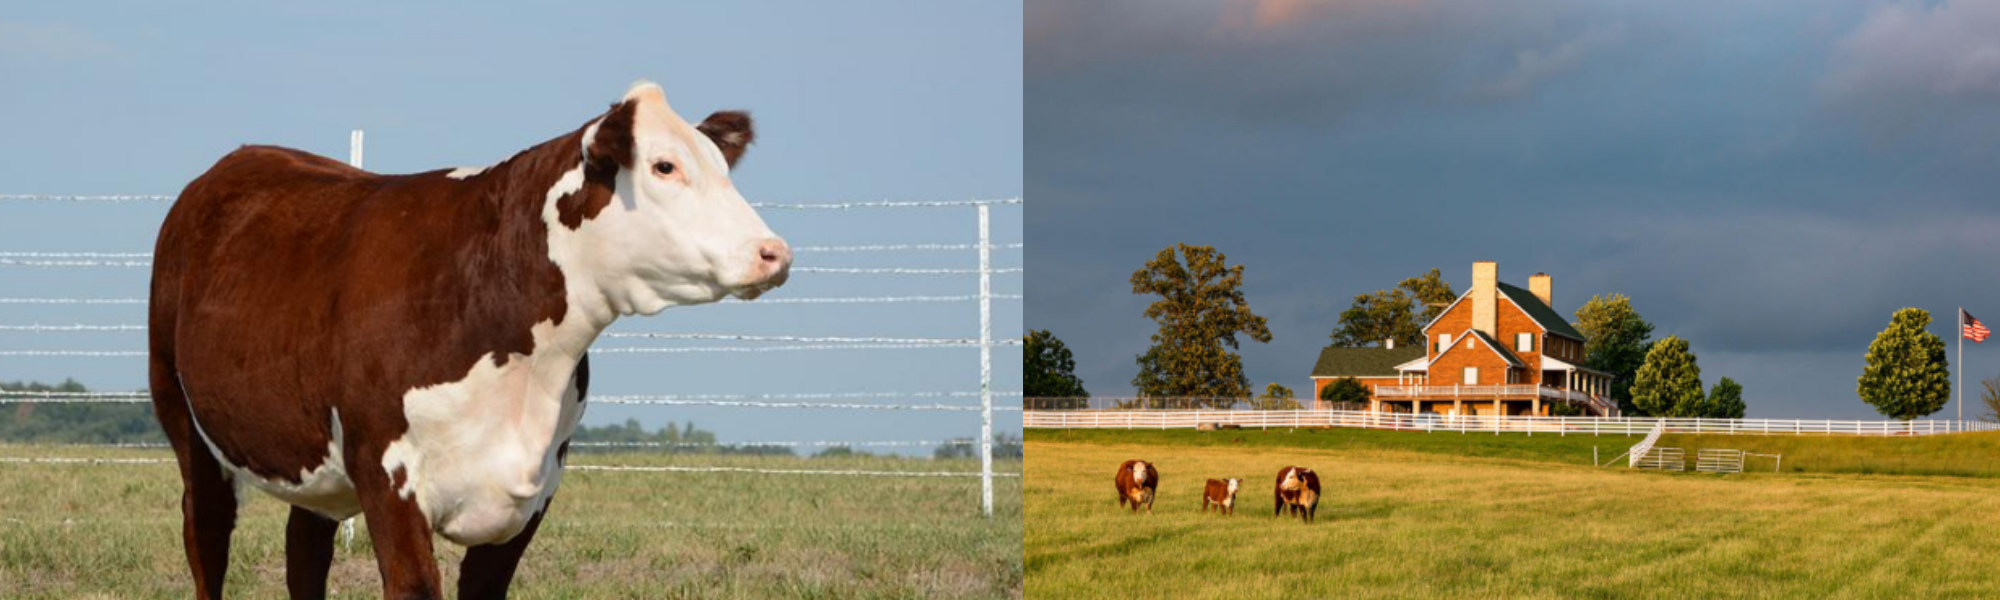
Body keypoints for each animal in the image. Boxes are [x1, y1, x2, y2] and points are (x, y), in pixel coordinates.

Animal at [150, 81, 788, 600]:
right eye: (663, 166)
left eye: (721, 167)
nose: (773, 252)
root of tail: (242, 155)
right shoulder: (387, 474)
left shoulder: (534, 489)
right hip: (184, 420)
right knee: (205, 537)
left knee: (305, 548)